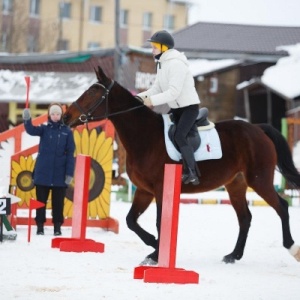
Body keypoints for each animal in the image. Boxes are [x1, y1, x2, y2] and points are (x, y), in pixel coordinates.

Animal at [63, 66, 300, 264]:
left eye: (92, 93)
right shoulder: (144, 190)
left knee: (281, 207)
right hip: (236, 185)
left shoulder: (160, 189)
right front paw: (154, 246)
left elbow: (160, 221)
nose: (66, 117)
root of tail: (258, 129)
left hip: (259, 180)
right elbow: (131, 220)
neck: (145, 136)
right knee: (245, 218)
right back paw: (234, 255)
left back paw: (291, 247)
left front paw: (156, 252)